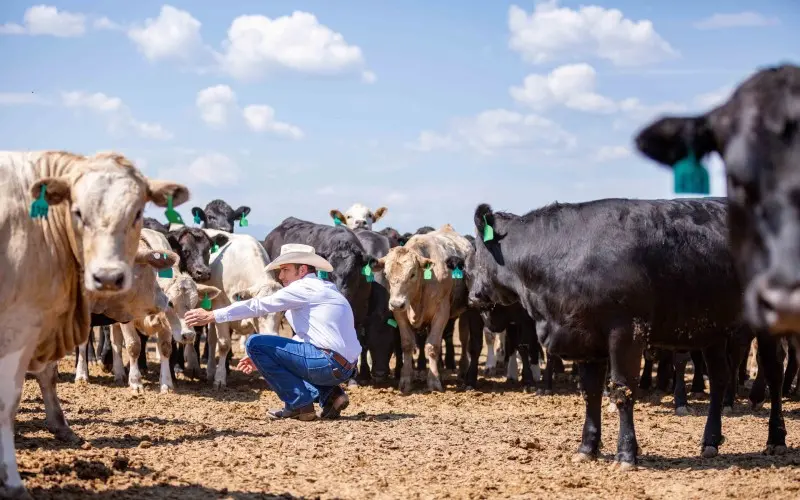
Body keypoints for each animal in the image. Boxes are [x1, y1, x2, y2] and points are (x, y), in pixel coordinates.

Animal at [0, 150, 188, 498]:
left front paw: (60, 425)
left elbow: (47, 375)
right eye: (149, 269)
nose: (164, 301)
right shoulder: (20, 325)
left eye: (136, 214)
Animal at [202, 229, 286, 388]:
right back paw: (210, 371)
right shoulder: (220, 305)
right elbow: (224, 344)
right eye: (260, 310)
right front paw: (220, 378)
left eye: (283, 311)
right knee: (212, 340)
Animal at [372, 225, 472, 392]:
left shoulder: (441, 313)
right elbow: (407, 344)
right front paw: (406, 380)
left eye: (412, 274)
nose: (396, 303)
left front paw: (434, 381)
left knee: (464, 340)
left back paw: (462, 370)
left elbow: (432, 346)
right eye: (386, 273)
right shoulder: (400, 315)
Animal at [468, 199, 788, 468]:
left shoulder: (626, 333)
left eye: (475, 254)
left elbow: (622, 390)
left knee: (774, 373)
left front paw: (626, 453)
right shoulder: (585, 338)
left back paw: (776, 438)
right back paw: (710, 440)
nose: (473, 296)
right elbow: (591, 393)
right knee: (720, 377)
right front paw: (587, 448)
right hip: (712, 329)